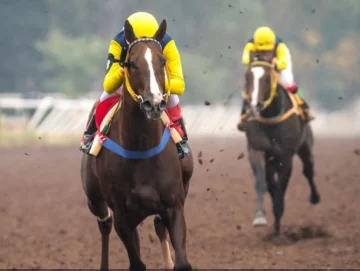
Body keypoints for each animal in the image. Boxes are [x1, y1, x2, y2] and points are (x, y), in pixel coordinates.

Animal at [239, 53, 320, 236]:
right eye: (247, 76)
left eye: (268, 77)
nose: (253, 107)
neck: (271, 116)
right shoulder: (259, 151)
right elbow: (265, 183)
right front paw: (263, 218)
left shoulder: (285, 156)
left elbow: (281, 187)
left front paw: (277, 230)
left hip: (305, 146)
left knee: (308, 170)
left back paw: (315, 197)